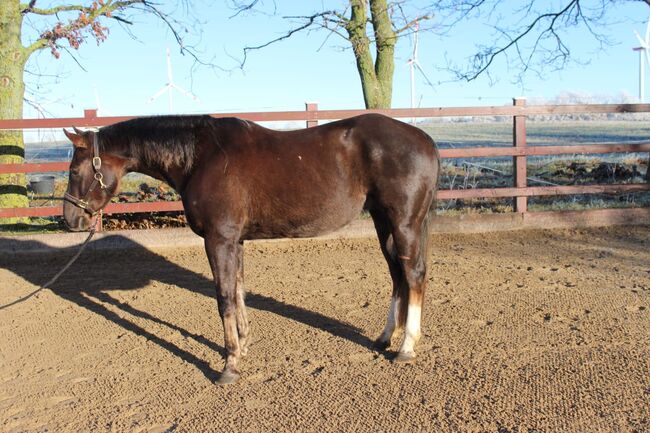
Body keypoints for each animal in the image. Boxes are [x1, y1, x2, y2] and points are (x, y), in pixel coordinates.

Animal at [63, 113, 438, 384]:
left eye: (75, 169)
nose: (69, 218)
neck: (201, 157)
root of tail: (426, 140)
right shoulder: (236, 241)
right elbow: (239, 290)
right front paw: (242, 344)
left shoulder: (219, 239)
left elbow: (224, 298)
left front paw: (229, 365)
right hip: (382, 221)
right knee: (397, 275)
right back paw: (386, 337)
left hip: (403, 222)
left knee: (413, 274)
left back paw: (406, 346)